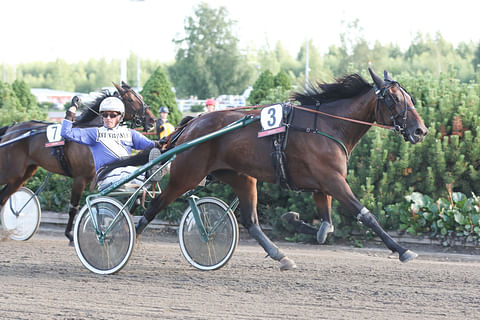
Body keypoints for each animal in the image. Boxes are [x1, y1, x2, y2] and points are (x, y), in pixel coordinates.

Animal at [0, 81, 155, 244]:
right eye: (131, 100)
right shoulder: (80, 179)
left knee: (4, 197)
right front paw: (70, 235)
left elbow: (130, 200)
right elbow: (74, 207)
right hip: (11, 172)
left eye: (141, 97)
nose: (152, 120)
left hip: (22, 175)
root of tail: (12, 128)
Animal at [114, 68, 430, 270]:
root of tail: (192, 124)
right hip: (186, 175)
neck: (327, 125)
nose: (420, 131)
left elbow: (325, 227)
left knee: (251, 221)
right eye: (394, 99)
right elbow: (365, 215)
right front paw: (403, 250)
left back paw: (280, 256)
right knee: (153, 206)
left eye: (410, 97)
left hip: (242, 177)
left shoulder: (322, 185)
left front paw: (294, 220)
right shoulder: (333, 180)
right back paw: (118, 240)